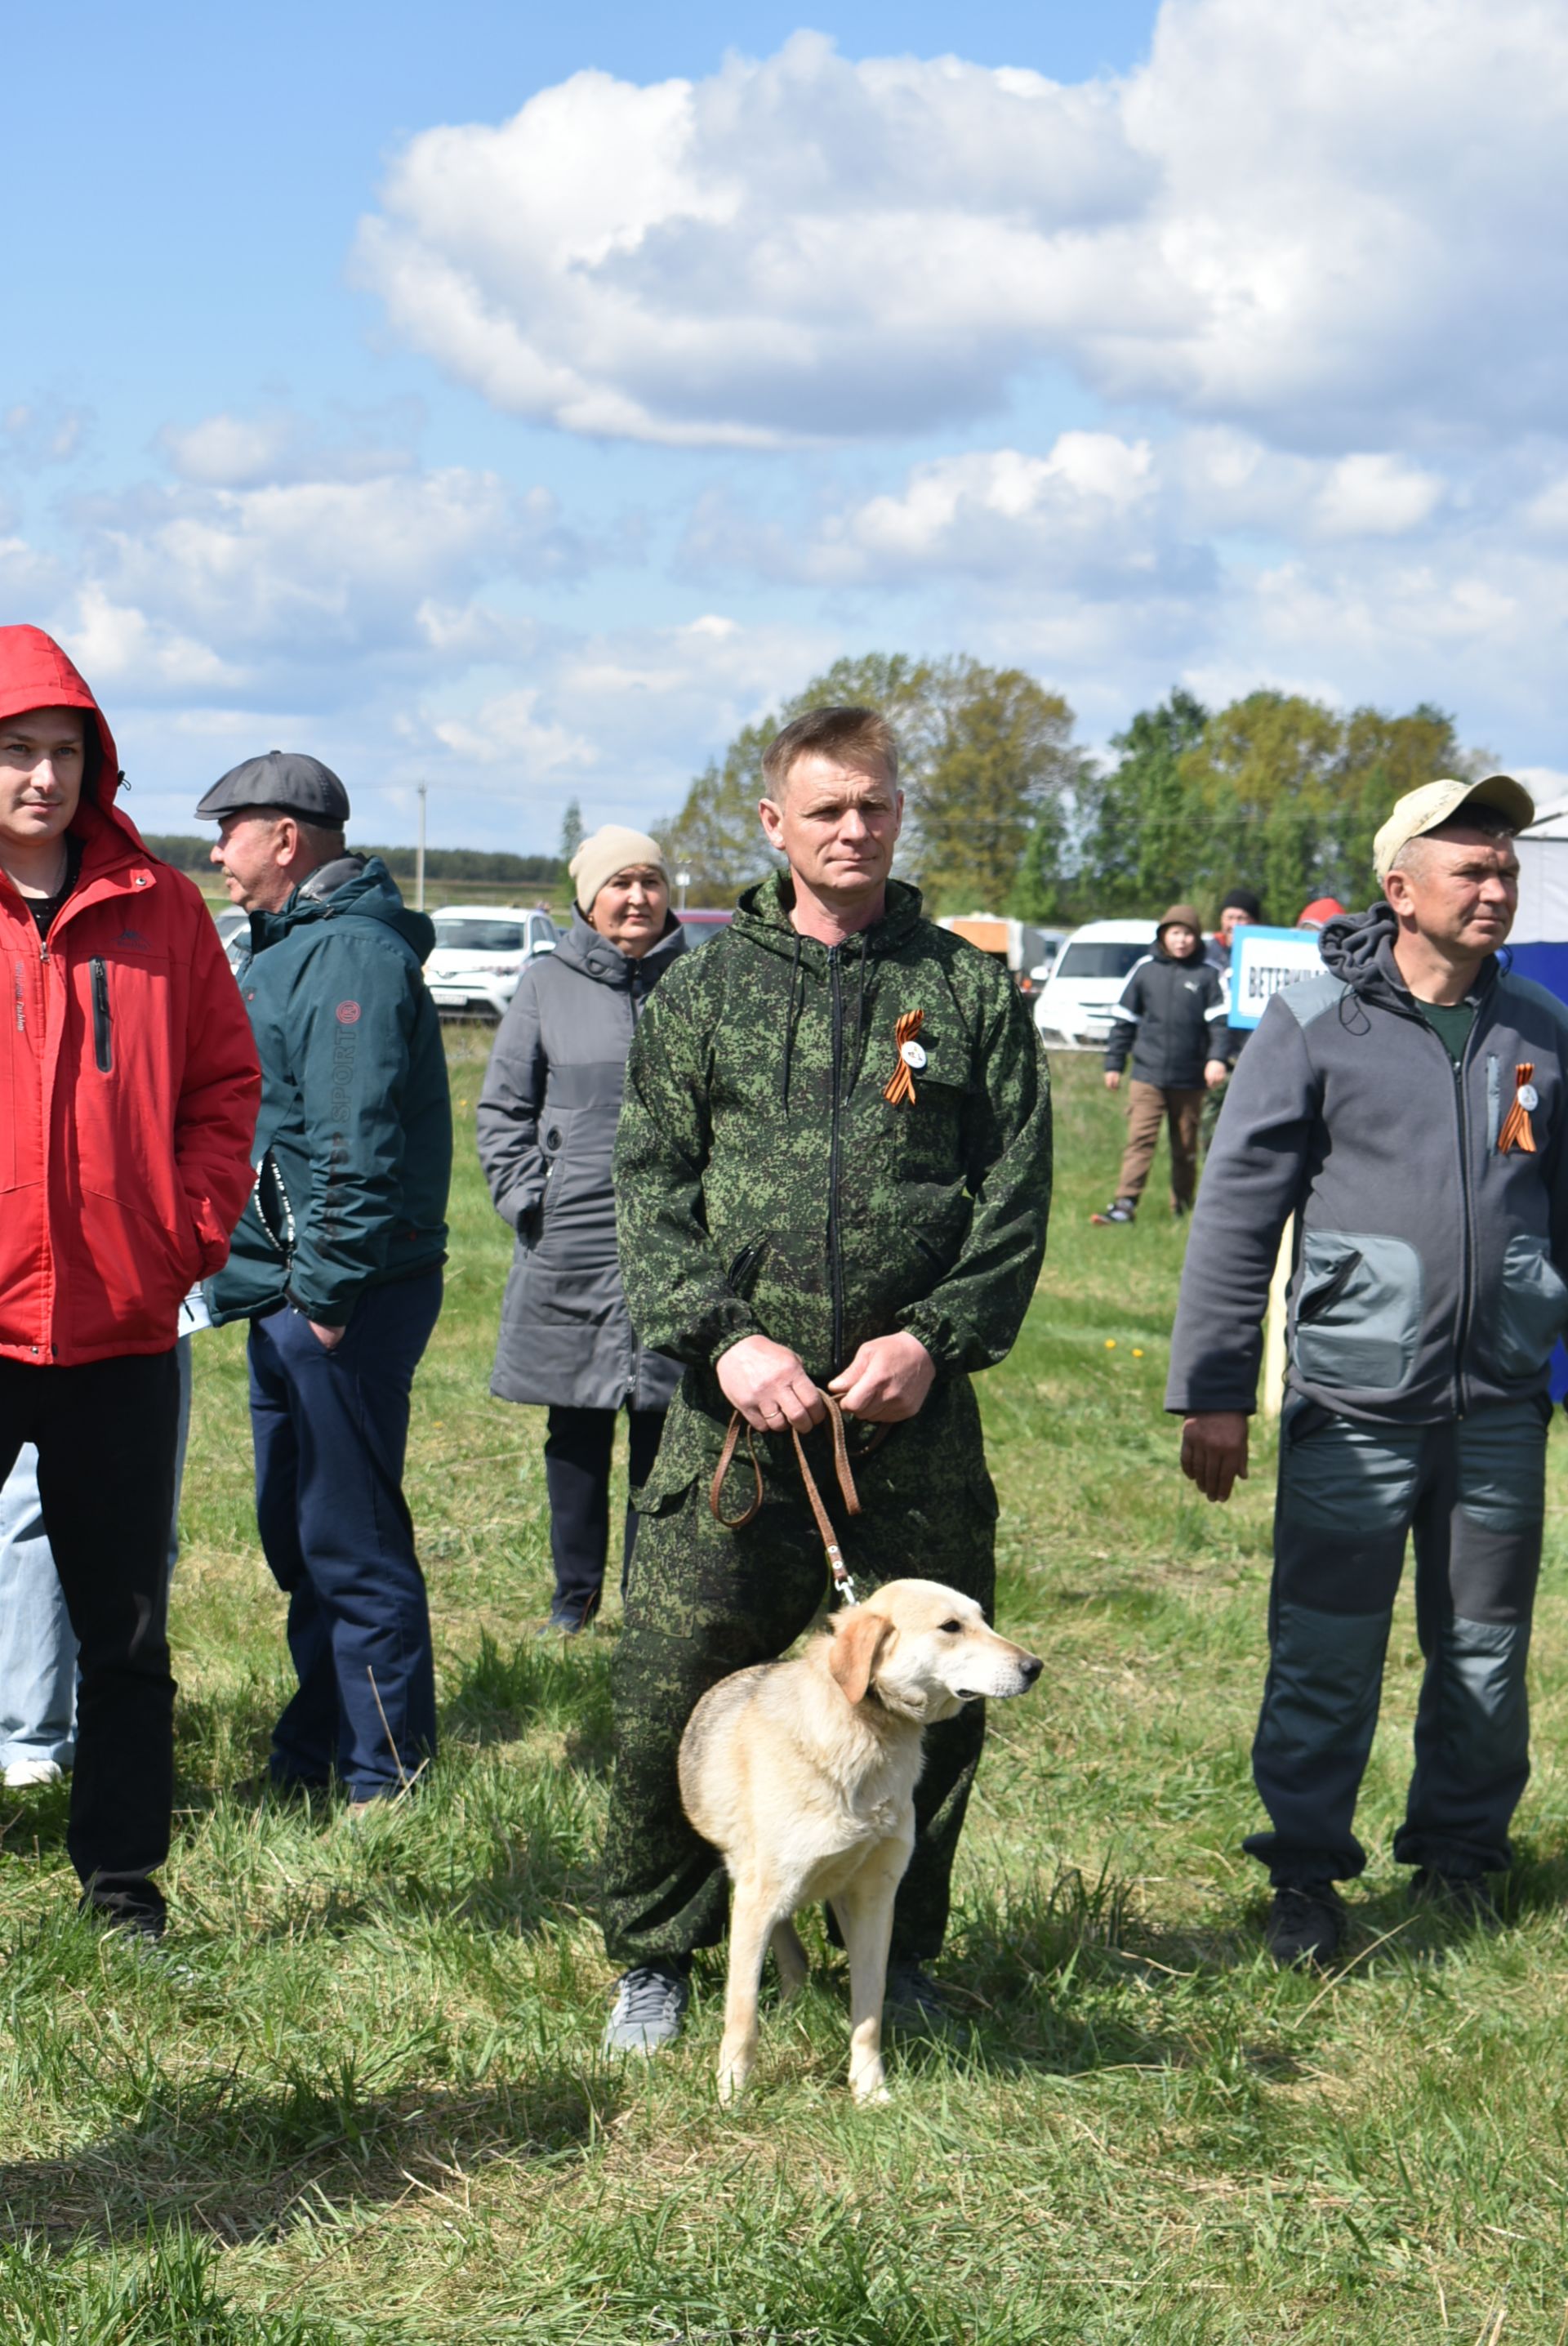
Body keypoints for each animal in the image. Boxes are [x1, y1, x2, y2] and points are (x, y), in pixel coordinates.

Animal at [675, 1576, 1040, 2111]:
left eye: (983, 1618)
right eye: (950, 1627)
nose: (1035, 1667)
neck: (869, 1730)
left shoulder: (873, 1898)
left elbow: (868, 2012)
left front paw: (869, 2090)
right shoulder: (760, 1898)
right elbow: (741, 2018)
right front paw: (731, 2095)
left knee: (796, 1955)